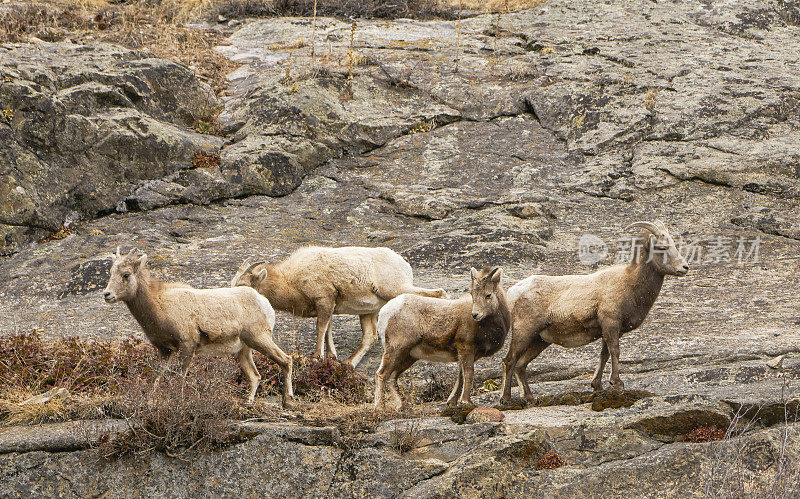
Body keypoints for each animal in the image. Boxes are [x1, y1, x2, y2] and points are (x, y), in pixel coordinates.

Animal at [101, 248, 296, 408]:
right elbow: (157, 377)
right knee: (255, 376)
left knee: (286, 360)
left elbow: (179, 377)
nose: (107, 294)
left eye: (126, 275)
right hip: (243, 351)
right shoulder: (165, 351)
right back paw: (248, 403)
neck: (159, 303)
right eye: (111, 273)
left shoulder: (187, 346)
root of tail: (263, 302)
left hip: (259, 339)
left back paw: (288, 402)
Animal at [230, 246, 444, 368]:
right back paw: (349, 364)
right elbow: (328, 332)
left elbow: (320, 330)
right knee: (369, 336)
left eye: (245, 285)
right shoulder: (329, 307)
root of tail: (403, 264)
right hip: (369, 311)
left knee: (439, 294)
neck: (290, 279)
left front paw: (317, 358)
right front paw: (332, 357)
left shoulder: (324, 300)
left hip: (395, 289)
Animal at [374, 268, 510, 412]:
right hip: (396, 350)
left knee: (392, 377)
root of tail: (384, 312)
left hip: (408, 357)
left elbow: (460, 377)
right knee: (381, 375)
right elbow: (468, 374)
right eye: (473, 294)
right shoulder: (466, 350)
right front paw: (466, 402)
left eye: (488, 295)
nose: (475, 315)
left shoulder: (465, 355)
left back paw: (401, 407)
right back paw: (379, 408)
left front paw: (452, 403)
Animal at [500, 221, 688, 404]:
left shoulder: (610, 330)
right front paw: (617, 383)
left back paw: (529, 398)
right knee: (510, 360)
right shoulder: (611, 323)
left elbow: (604, 355)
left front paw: (597, 386)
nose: (685, 267)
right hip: (524, 332)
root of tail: (512, 292)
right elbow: (615, 351)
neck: (629, 284)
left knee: (521, 365)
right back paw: (506, 399)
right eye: (662, 247)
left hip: (539, 340)